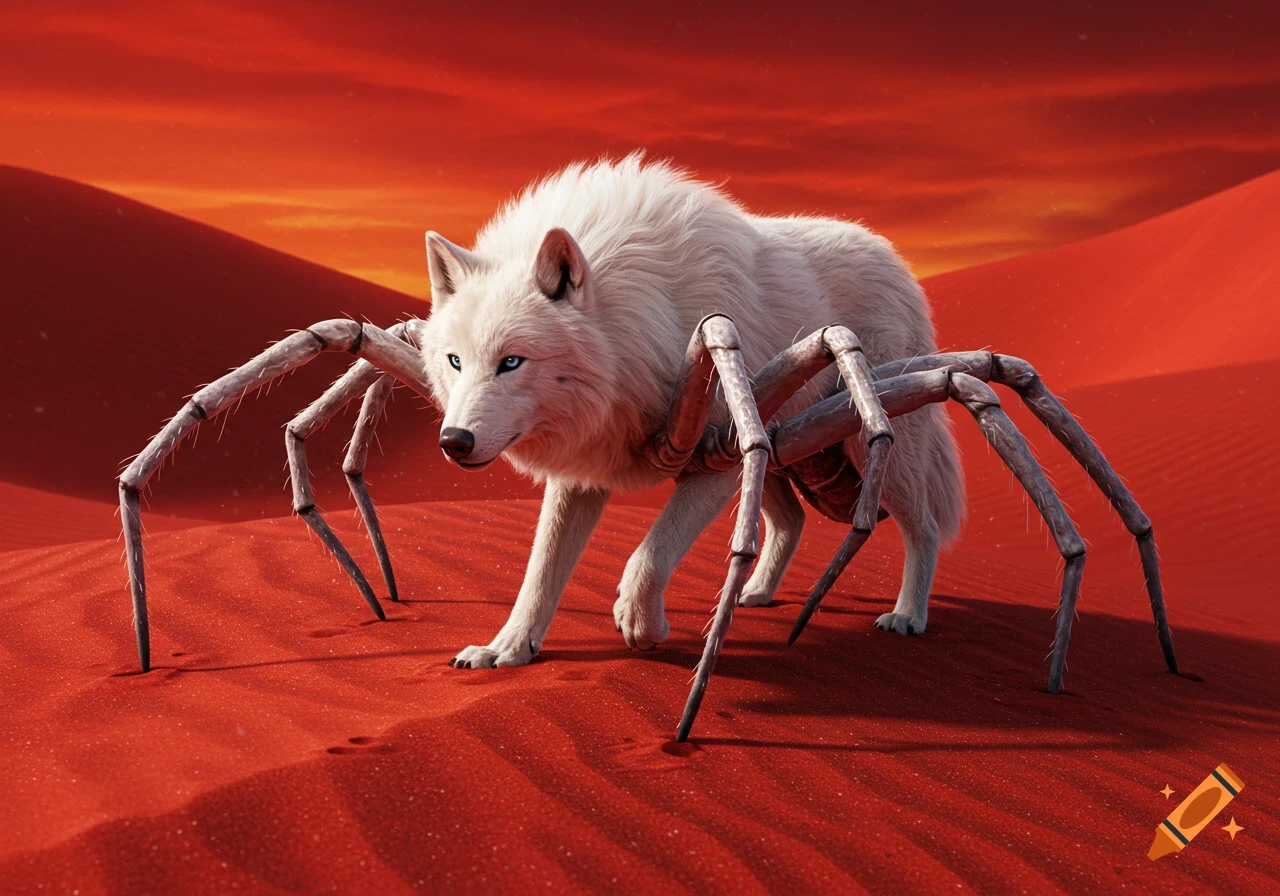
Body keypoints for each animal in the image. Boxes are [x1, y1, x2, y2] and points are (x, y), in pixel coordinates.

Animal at [417, 154, 964, 668]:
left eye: (511, 361)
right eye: (455, 361)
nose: (453, 442)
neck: (638, 326)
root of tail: (892, 254)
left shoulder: (718, 457)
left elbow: (648, 556)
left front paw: (641, 625)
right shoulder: (581, 471)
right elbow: (540, 571)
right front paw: (506, 648)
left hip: (864, 443)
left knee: (924, 526)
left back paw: (907, 614)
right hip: (781, 450)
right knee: (791, 520)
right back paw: (755, 593)